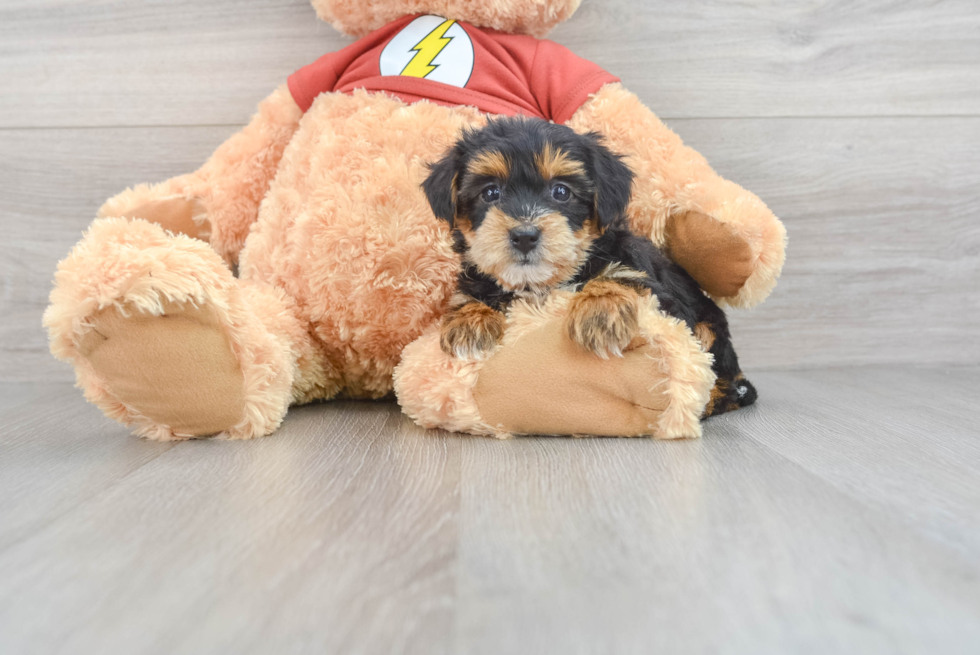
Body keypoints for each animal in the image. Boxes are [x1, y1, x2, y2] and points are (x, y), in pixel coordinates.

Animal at [424, 118, 756, 418]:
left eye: (561, 192)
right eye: (490, 193)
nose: (524, 235)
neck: (541, 283)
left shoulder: (653, 287)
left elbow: (621, 278)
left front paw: (601, 311)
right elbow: (470, 294)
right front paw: (469, 321)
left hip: (708, 326)